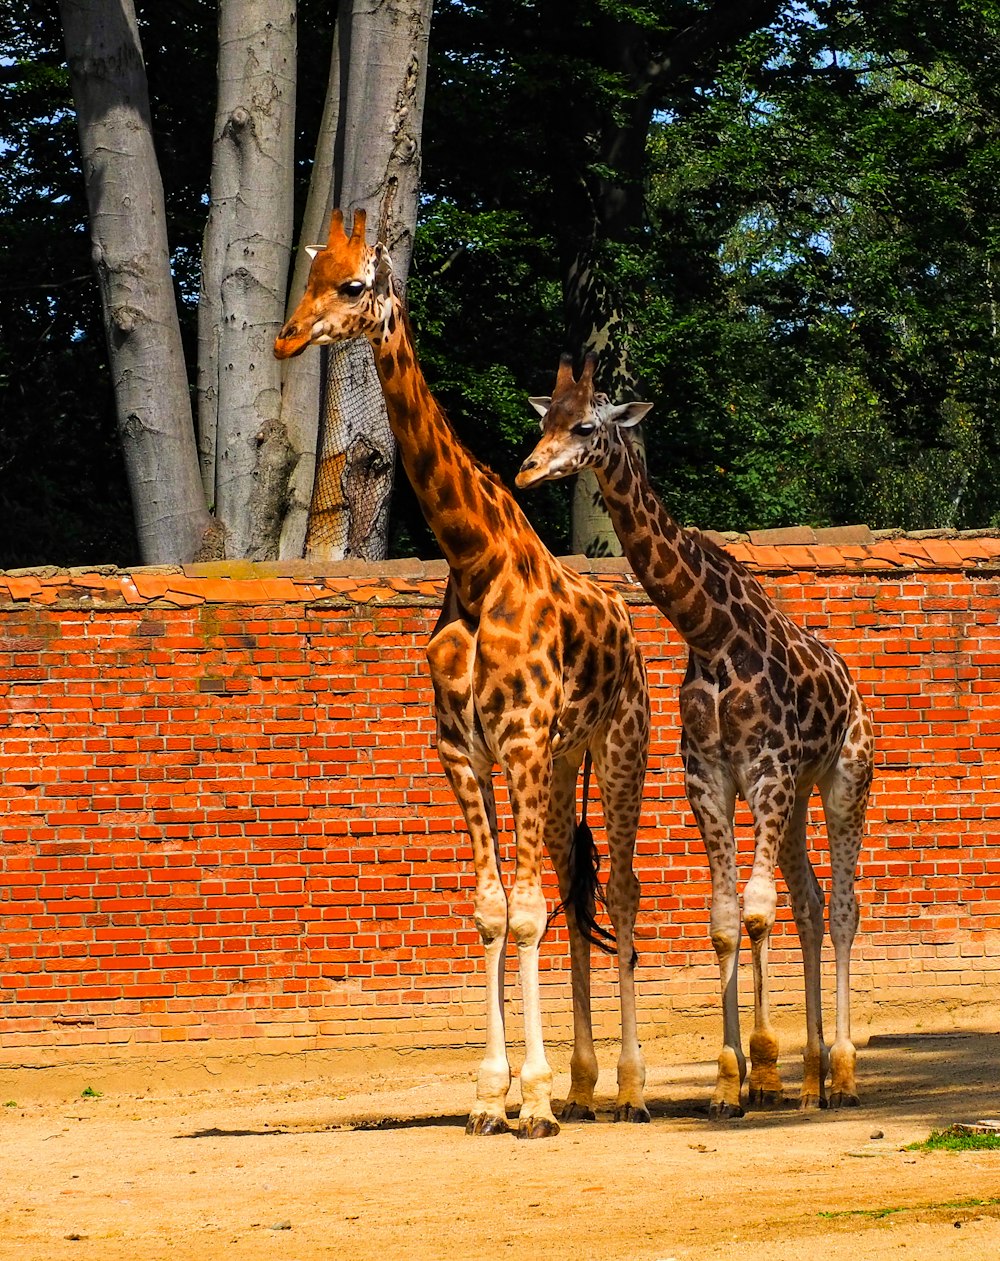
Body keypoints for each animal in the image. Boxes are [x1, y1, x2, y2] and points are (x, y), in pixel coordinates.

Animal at [273, 214, 650, 1134]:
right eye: (313, 277)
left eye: (352, 286)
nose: (286, 338)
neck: (475, 560)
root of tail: (626, 620)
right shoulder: (464, 753)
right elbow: (492, 911)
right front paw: (492, 1092)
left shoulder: (518, 743)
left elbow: (526, 912)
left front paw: (534, 1101)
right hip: (561, 764)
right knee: (577, 883)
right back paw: (585, 1085)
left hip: (617, 746)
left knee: (621, 890)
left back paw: (626, 1087)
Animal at [514, 353, 872, 1114]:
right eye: (545, 417)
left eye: (584, 425)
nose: (527, 471)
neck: (711, 634)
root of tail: (853, 687)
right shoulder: (709, 777)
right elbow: (725, 919)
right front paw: (729, 1081)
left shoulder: (765, 771)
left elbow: (756, 913)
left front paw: (761, 1068)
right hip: (798, 796)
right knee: (811, 902)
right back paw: (812, 1080)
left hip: (844, 778)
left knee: (844, 907)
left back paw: (844, 1072)